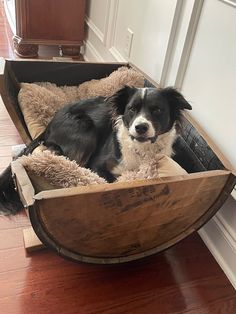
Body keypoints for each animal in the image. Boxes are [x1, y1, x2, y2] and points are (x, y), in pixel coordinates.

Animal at [0, 86, 192, 213]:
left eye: (157, 110)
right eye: (131, 109)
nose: (140, 127)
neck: (141, 148)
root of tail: (49, 124)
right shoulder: (97, 164)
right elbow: (108, 180)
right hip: (86, 130)